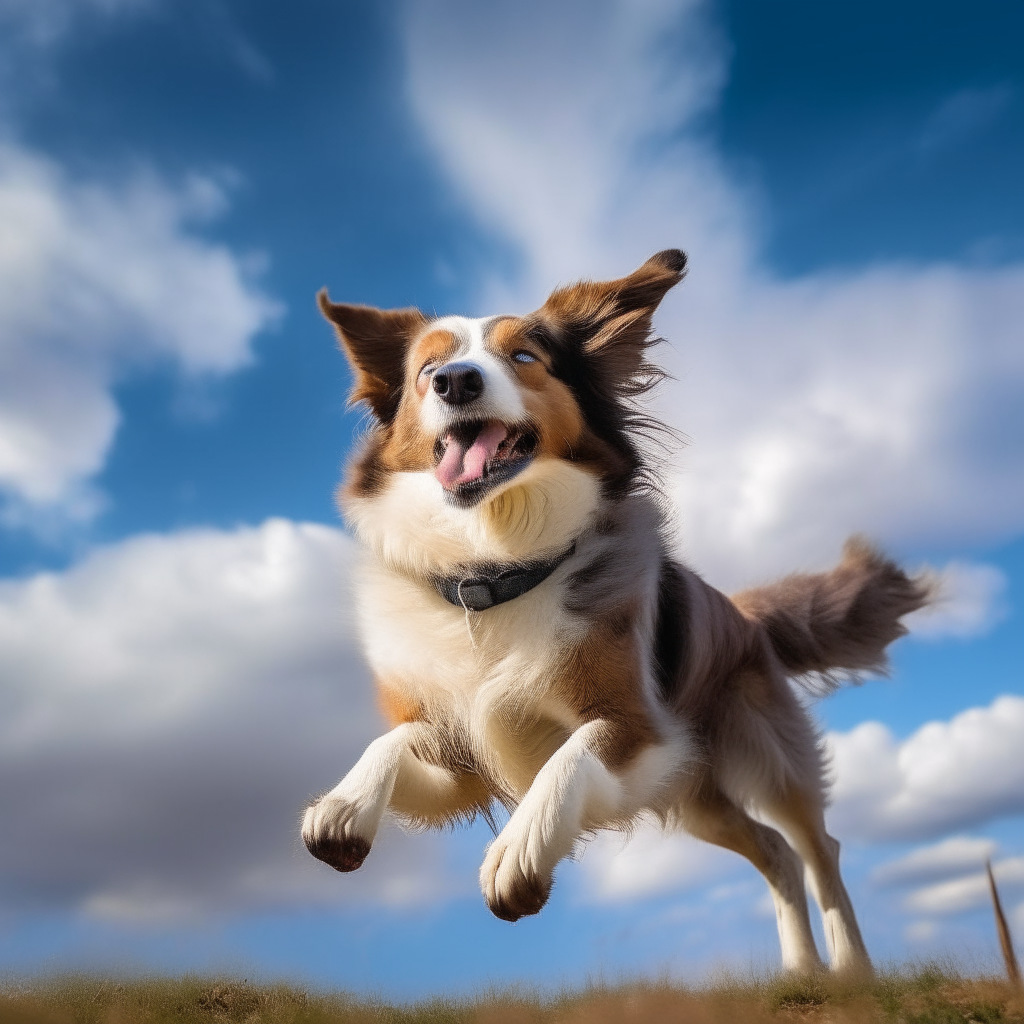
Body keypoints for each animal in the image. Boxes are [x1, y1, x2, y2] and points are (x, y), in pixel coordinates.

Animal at [301, 249, 929, 974]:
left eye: (524, 356)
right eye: (427, 370)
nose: (455, 381)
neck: (494, 571)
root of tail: (743, 614)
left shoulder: (641, 725)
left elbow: (570, 753)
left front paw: (517, 852)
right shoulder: (457, 768)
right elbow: (394, 741)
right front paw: (341, 806)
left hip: (766, 758)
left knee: (815, 846)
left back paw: (852, 970)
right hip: (697, 796)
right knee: (773, 851)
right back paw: (801, 973)